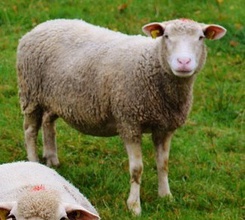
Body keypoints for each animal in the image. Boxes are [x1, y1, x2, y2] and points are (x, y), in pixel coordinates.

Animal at [16, 18, 226, 215]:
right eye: (166, 36)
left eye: (201, 37)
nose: (183, 62)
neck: (152, 65)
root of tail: (44, 24)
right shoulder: (129, 122)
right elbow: (137, 169)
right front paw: (134, 206)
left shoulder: (165, 127)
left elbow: (163, 164)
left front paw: (166, 196)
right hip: (31, 93)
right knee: (30, 131)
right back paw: (34, 162)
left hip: (53, 98)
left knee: (48, 123)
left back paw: (52, 160)